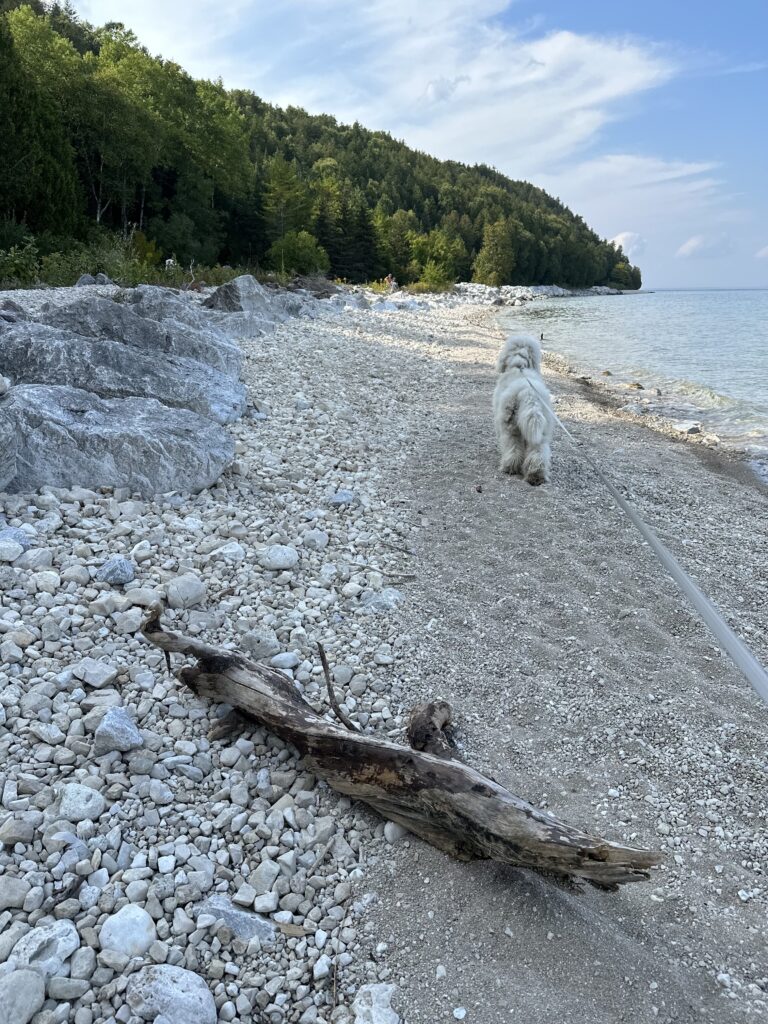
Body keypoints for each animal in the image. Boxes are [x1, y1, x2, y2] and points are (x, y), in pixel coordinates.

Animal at [492, 333, 553, 485]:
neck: (519, 366)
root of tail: (529, 394)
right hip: (541, 432)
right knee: (538, 452)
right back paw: (536, 475)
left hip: (510, 426)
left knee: (513, 447)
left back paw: (509, 467)